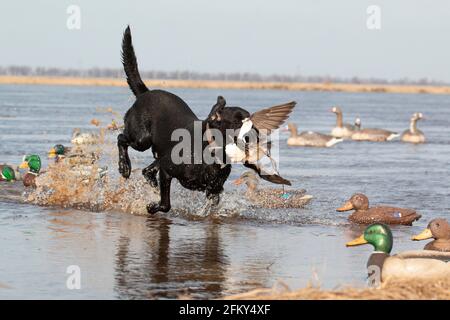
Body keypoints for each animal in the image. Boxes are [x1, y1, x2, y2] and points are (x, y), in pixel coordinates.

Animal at [117, 26, 292, 214]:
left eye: (253, 122)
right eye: (237, 122)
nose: (256, 137)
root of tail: (145, 93)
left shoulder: (213, 191)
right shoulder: (167, 170)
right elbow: (165, 204)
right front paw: (151, 207)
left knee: (147, 169)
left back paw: (148, 180)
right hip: (141, 139)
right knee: (121, 139)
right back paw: (124, 167)